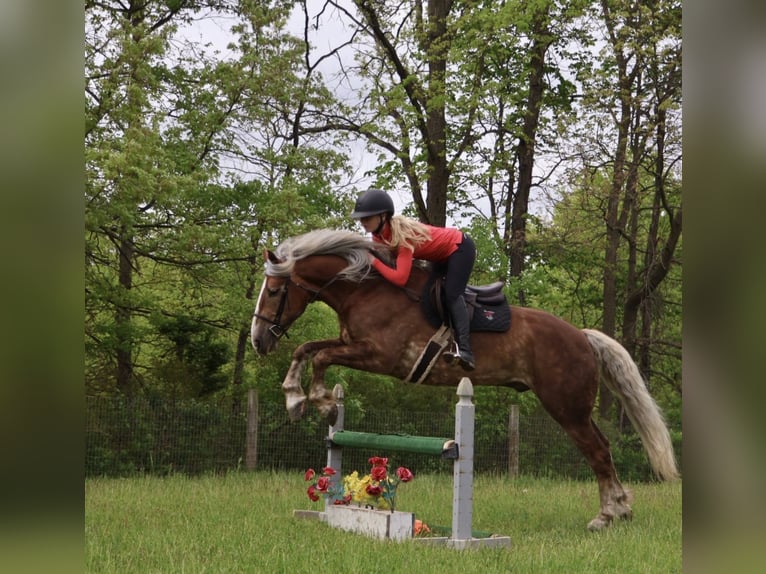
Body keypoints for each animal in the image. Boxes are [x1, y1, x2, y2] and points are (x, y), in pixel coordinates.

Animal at [250, 229, 679, 531]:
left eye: (273, 291)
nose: (257, 341)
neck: (366, 290)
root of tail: (582, 336)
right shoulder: (350, 343)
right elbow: (306, 348)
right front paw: (294, 398)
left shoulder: (379, 356)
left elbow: (320, 356)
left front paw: (319, 401)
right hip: (571, 407)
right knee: (601, 447)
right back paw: (620, 509)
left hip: (566, 406)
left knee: (598, 451)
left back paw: (606, 516)